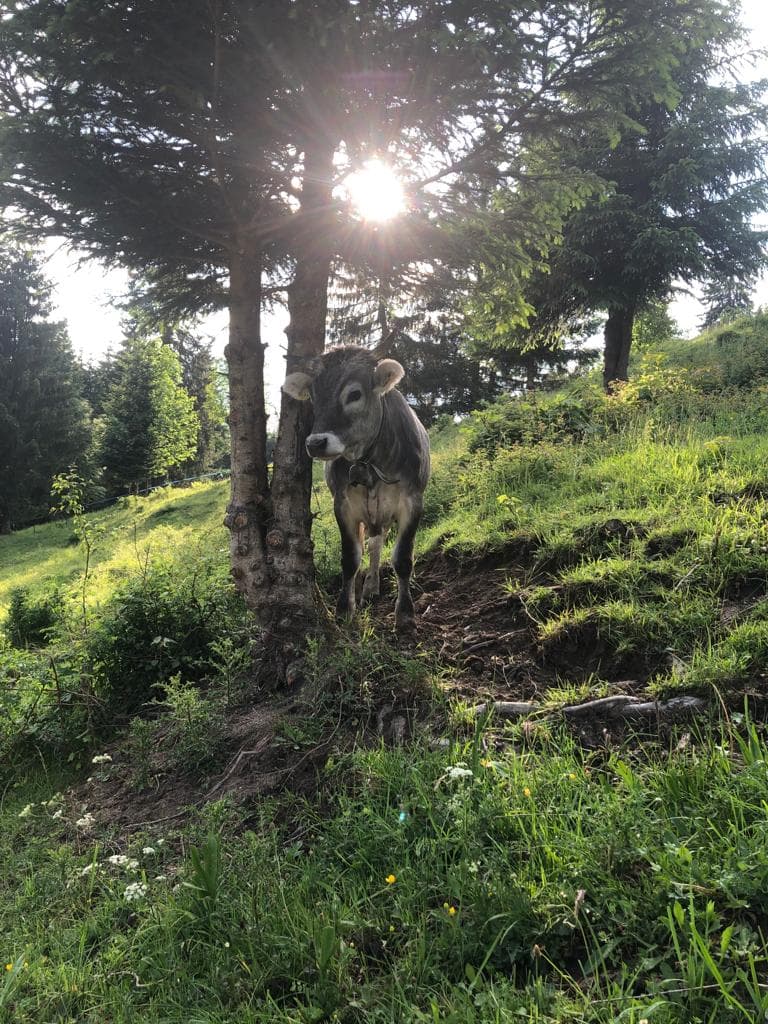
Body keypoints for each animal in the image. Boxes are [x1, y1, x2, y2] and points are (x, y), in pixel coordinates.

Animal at [282, 346, 430, 632]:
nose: (316, 443)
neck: (368, 463)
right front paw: (344, 609)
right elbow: (351, 558)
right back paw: (370, 587)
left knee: (378, 542)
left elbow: (402, 558)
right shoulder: (343, 505)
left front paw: (405, 614)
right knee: (373, 544)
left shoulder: (413, 500)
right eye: (313, 397)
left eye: (354, 394)